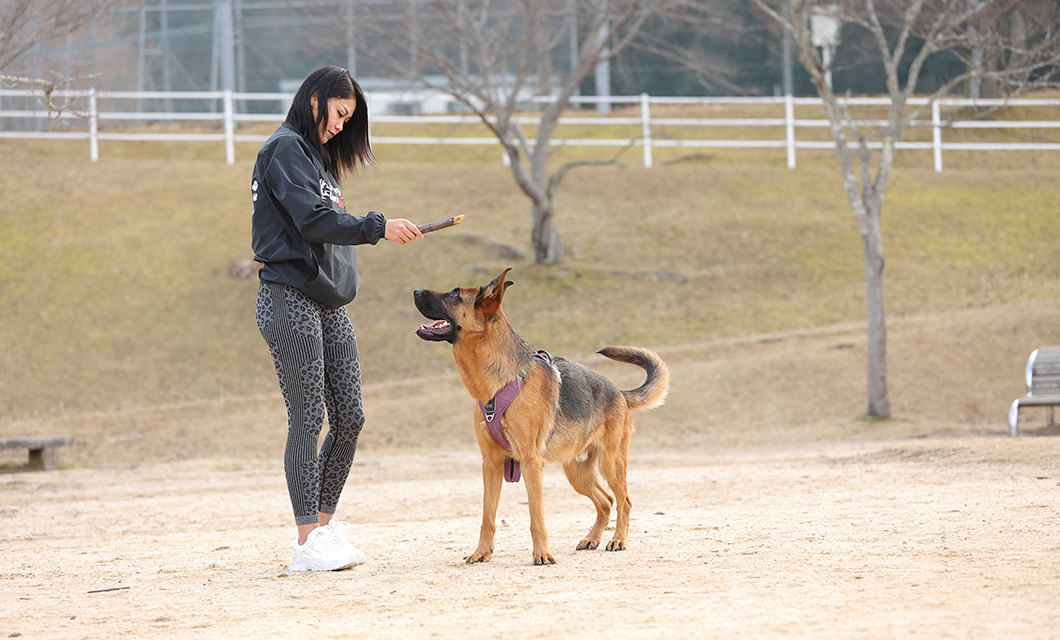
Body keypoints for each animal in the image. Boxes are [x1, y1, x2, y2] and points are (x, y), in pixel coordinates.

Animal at [411, 267, 665, 563]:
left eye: (454, 293)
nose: (415, 290)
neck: (499, 384)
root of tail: (620, 394)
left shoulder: (531, 463)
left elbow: (536, 516)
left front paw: (542, 554)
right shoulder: (491, 463)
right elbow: (487, 516)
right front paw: (482, 552)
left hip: (610, 464)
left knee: (624, 500)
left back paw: (618, 539)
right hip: (577, 472)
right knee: (606, 501)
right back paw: (592, 538)